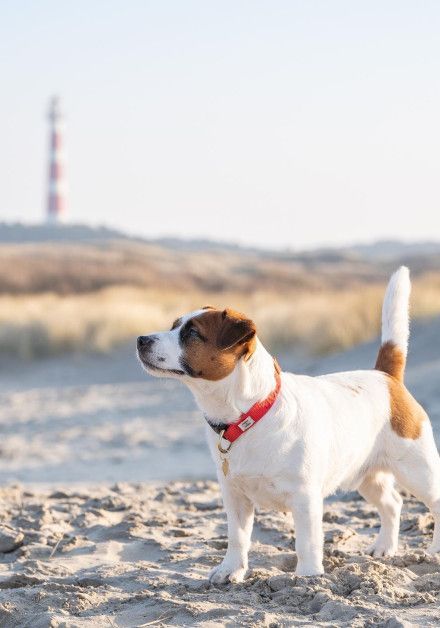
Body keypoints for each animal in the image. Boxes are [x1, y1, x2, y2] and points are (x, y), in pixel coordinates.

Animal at [137, 268, 440, 580]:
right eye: (174, 326)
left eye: (192, 333)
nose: (141, 339)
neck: (249, 414)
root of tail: (386, 377)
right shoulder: (234, 496)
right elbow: (237, 538)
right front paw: (231, 570)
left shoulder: (305, 498)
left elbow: (306, 542)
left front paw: (308, 577)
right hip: (367, 476)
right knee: (392, 504)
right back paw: (384, 547)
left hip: (418, 471)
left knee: (434, 503)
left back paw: (433, 550)